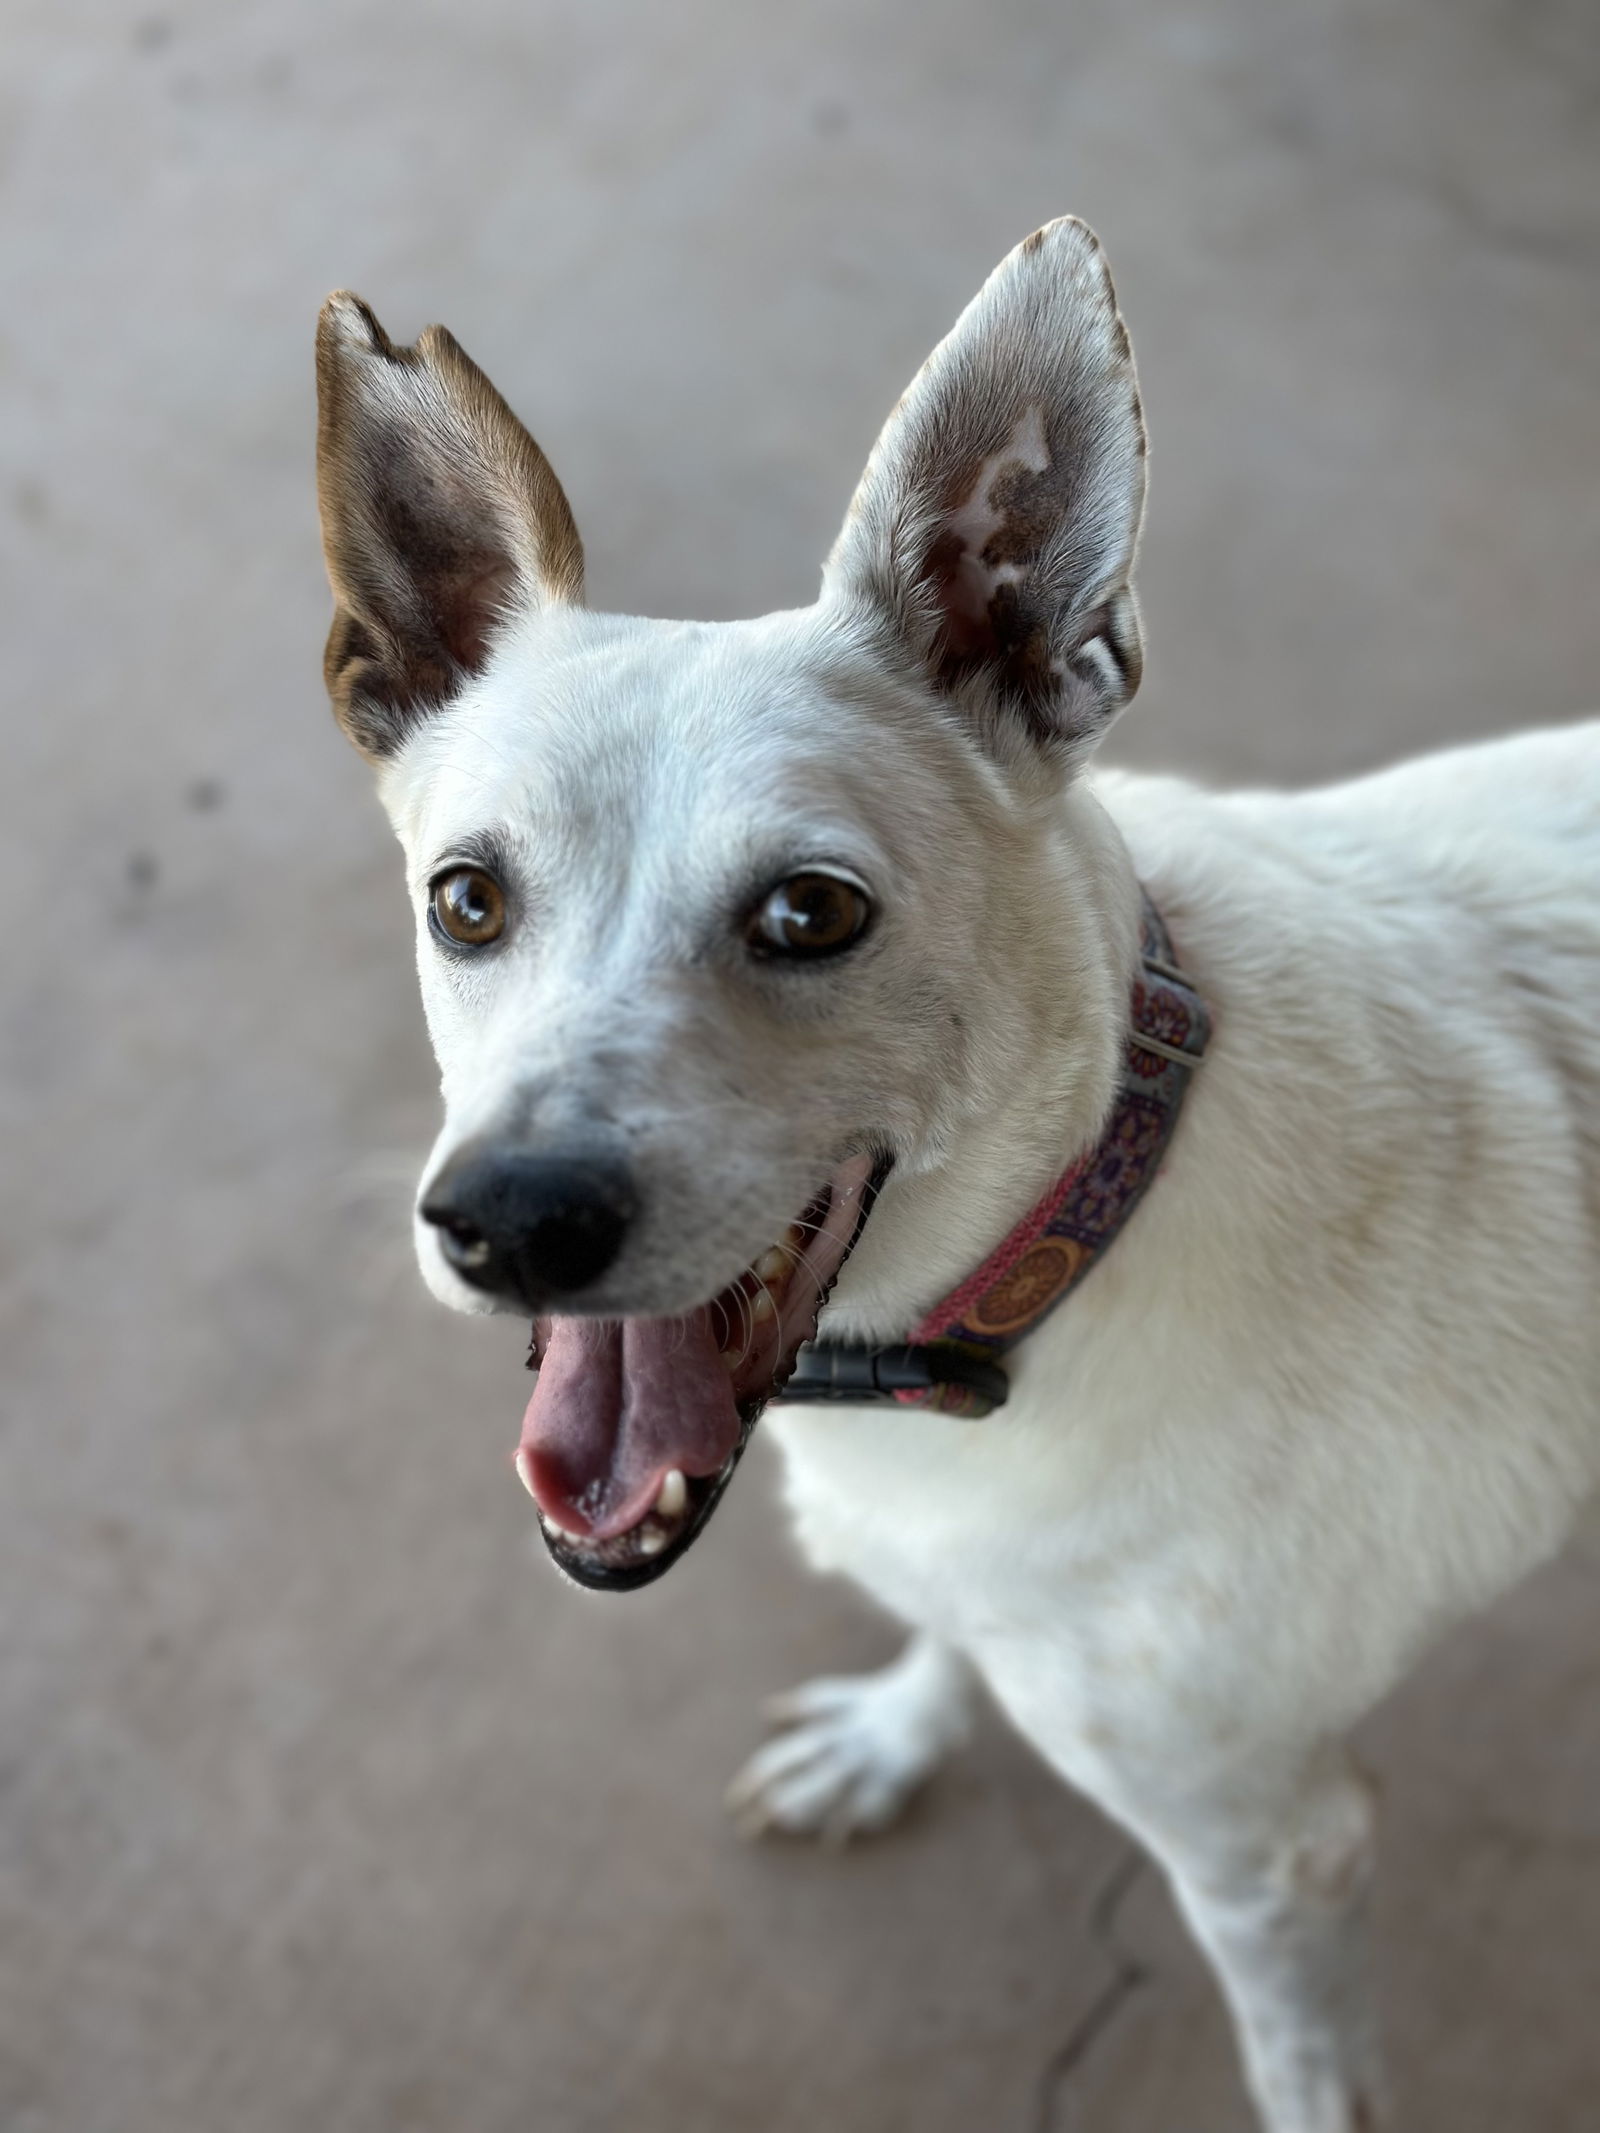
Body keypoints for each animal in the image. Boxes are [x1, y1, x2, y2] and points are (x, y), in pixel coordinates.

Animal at [313, 220, 1600, 2133]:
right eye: (465, 898)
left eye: (810, 911)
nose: (511, 1223)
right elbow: (938, 1640)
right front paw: (896, 1736)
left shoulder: (1277, 1853)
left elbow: (1305, 2065)